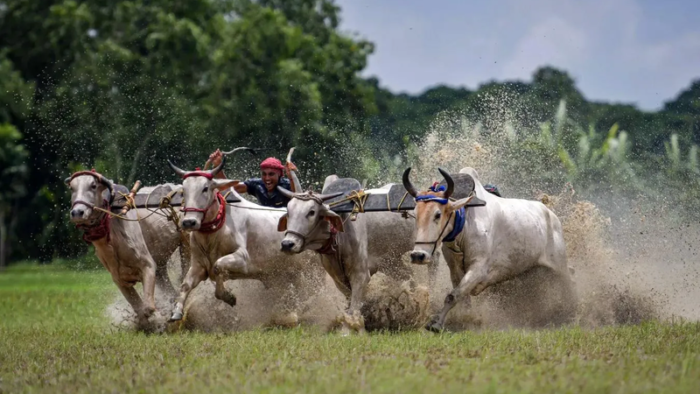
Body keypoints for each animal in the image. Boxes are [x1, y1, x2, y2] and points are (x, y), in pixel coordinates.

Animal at [66, 171, 189, 322]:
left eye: (93, 185)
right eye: (72, 188)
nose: (77, 212)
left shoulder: (148, 266)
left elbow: (148, 308)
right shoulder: (119, 279)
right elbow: (140, 310)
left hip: (186, 245)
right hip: (160, 266)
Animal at [168, 157, 322, 326]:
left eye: (205, 188)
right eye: (184, 190)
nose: (189, 222)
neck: (214, 232)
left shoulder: (242, 259)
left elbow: (217, 267)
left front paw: (228, 297)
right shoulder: (198, 265)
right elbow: (186, 284)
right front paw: (176, 312)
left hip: (312, 271)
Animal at [402, 166, 576, 332]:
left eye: (438, 214)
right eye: (415, 213)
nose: (418, 255)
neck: (466, 221)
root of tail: (551, 216)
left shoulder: (478, 269)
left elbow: (452, 296)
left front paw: (436, 323)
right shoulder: (455, 270)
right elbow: (461, 298)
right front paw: (465, 319)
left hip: (559, 265)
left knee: (569, 281)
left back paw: (571, 313)